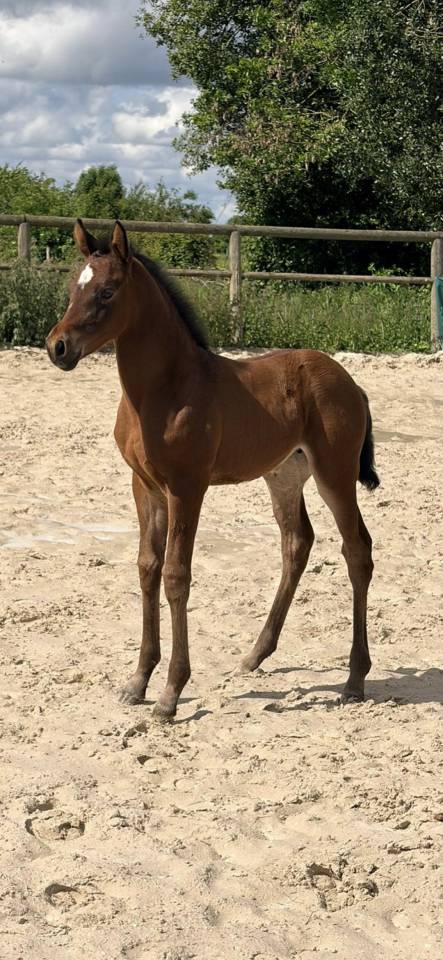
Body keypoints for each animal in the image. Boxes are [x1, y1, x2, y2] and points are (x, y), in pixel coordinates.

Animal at [46, 219, 379, 720]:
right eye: (72, 287)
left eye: (107, 291)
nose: (58, 347)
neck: (166, 389)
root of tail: (350, 381)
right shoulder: (145, 487)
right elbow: (147, 568)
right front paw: (138, 681)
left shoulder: (187, 488)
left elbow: (175, 576)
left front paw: (170, 693)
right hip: (283, 476)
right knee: (297, 544)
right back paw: (255, 655)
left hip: (334, 476)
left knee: (357, 549)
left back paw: (355, 678)